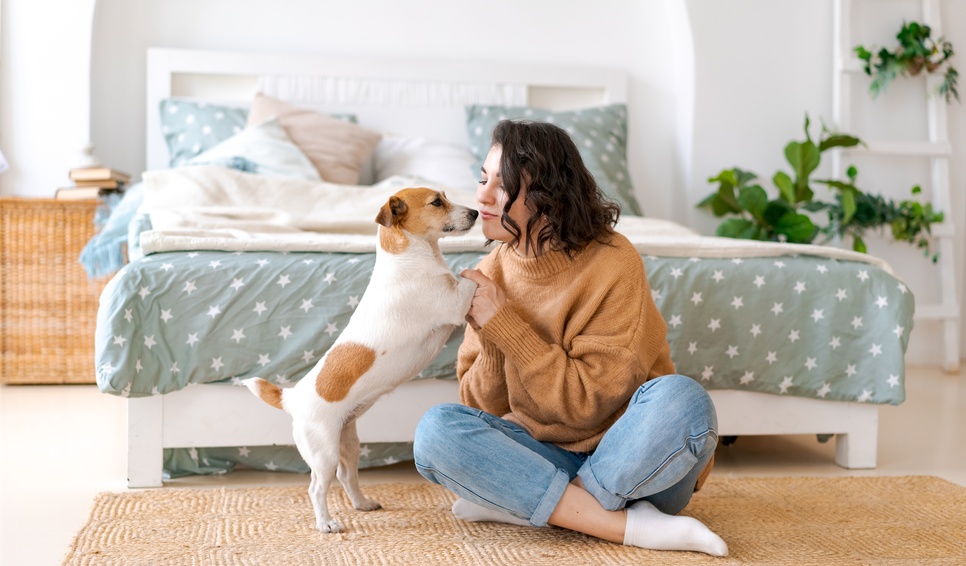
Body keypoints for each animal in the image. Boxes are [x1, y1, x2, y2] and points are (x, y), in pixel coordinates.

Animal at [244, 189, 478, 536]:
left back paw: (362, 503)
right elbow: (473, 276)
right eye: (437, 202)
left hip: (349, 443)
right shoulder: (455, 303)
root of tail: (291, 398)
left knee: (347, 476)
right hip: (323, 452)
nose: (476, 213)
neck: (408, 256)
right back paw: (326, 523)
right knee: (317, 487)